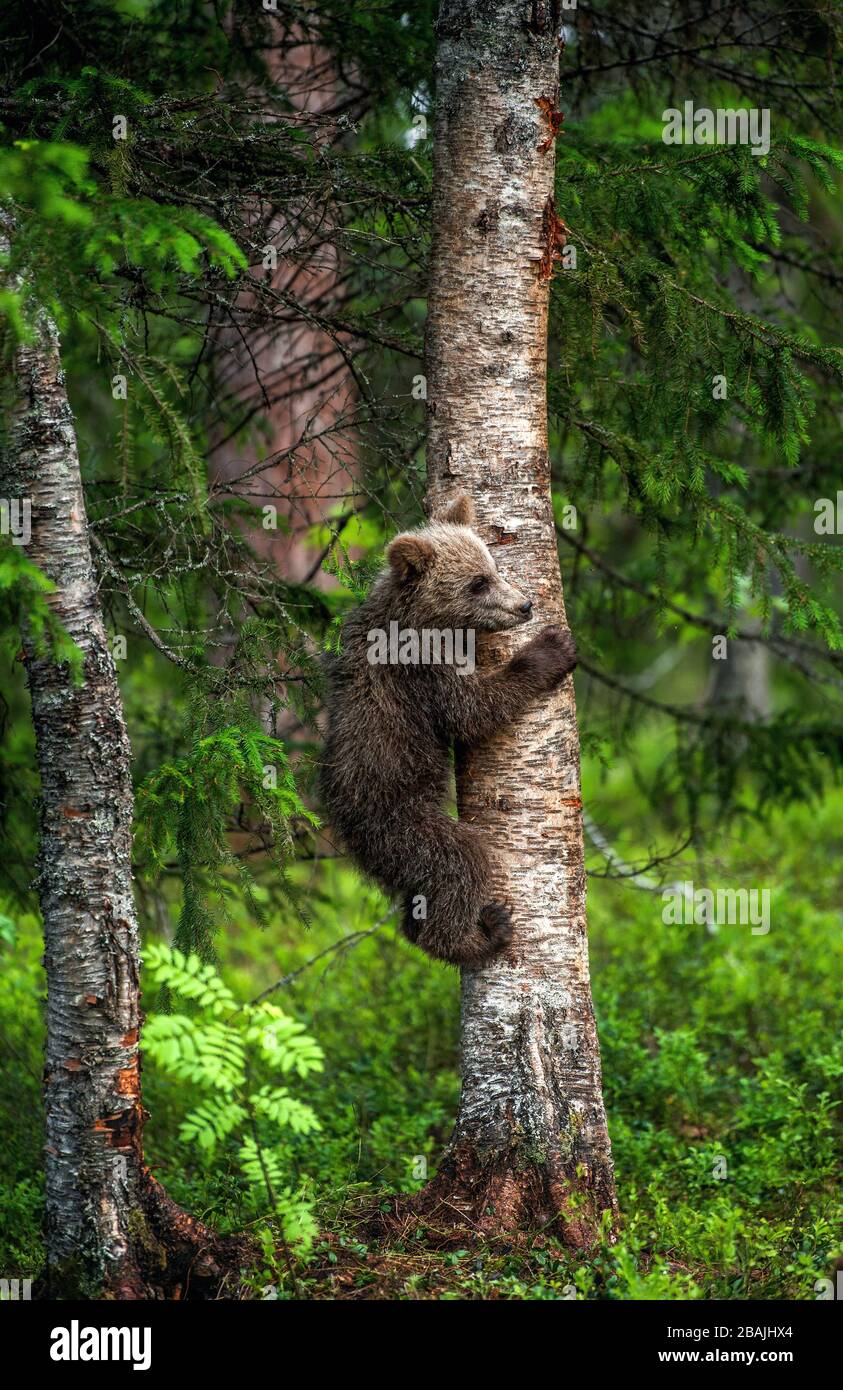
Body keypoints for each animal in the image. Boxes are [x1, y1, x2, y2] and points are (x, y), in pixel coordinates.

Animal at [319, 494, 578, 967]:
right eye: (477, 583)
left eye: (493, 565)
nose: (525, 605)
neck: (417, 617)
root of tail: (342, 822)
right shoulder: (421, 670)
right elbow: (469, 710)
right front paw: (551, 649)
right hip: (402, 821)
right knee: (460, 862)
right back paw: (479, 934)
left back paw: (419, 928)